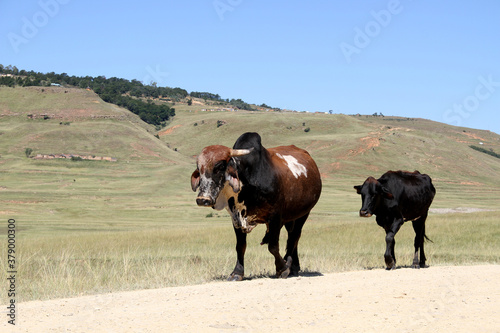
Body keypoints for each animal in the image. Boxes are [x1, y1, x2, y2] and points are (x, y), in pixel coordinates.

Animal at [189, 132, 322, 280]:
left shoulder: (275, 217)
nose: (203, 199)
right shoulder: (236, 219)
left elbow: (273, 246)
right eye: (199, 168)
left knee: (294, 238)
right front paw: (237, 273)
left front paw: (282, 269)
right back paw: (294, 267)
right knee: (292, 237)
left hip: (303, 213)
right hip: (290, 217)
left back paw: (290, 265)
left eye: (220, 166)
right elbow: (240, 246)